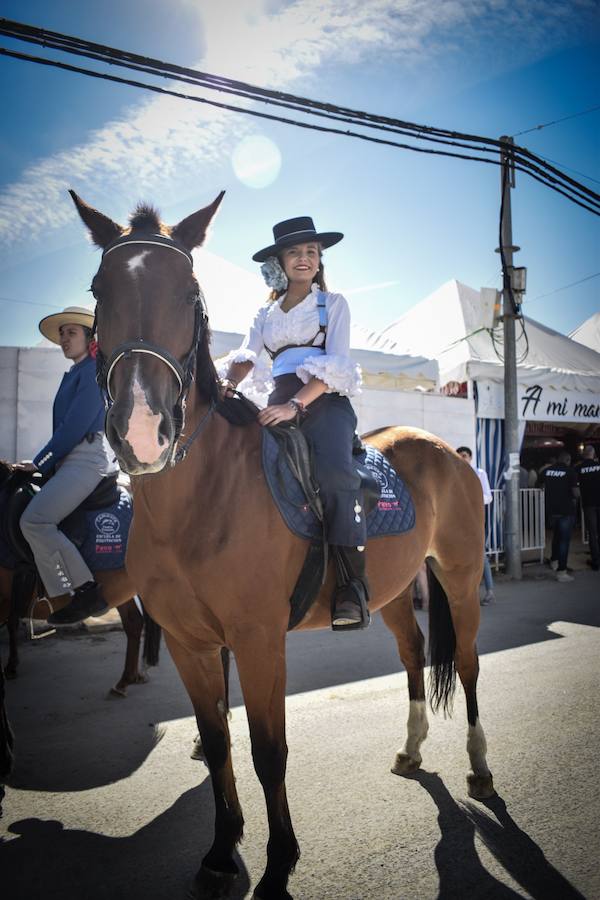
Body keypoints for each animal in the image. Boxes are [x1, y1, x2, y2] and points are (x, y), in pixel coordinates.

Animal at [62, 192, 492, 900]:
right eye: (99, 289)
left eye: (191, 293)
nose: (143, 432)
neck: (202, 498)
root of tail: (446, 452)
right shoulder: (189, 643)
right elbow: (216, 742)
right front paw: (220, 850)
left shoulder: (259, 639)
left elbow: (269, 749)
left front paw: (279, 860)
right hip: (394, 592)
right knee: (412, 654)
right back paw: (411, 750)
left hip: (457, 578)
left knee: (468, 663)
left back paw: (480, 767)